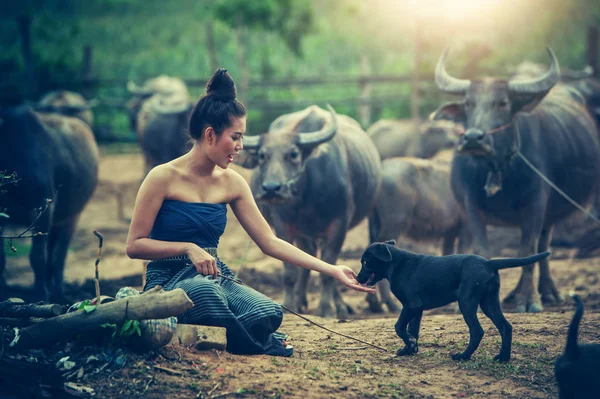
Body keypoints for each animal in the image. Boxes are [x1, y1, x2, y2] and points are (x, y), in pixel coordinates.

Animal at [0, 106, 99, 304]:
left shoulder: (43, 209)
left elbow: (38, 257)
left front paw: (40, 295)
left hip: (71, 216)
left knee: (59, 256)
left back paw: (58, 293)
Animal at [238, 104, 380, 318]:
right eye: (262, 156)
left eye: (294, 154)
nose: (271, 189)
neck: (307, 195)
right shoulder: (283, 224)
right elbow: (290, 270)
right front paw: (289, 305)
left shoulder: (339, 223)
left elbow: (328, 269)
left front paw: (326, 309)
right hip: (303, 232)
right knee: (307, 255)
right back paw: (300, 300)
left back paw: (340, 306)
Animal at [358, 241, 552, 362]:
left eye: (365, 262)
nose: (358, 279)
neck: (396, 264)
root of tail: (489, 263)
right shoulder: (417, 309)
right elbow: (413, 330)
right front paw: (409, 349)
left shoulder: (411, 305)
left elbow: (399, 326)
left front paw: (410, 345)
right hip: (489, 302)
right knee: (505, 327)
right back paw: (503, 358)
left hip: (466, 302)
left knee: (477, 331)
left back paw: (463, 356)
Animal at [432, 48, 600, 314]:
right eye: (468, 103)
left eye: (502, 103)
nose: (473, 138)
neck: (497, 169)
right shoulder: (471, 207)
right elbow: (484, 251)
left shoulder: (535, 205)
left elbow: (528, 251)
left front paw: (529, 300)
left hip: (549, 213)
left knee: (542, 247)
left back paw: (547, 292)